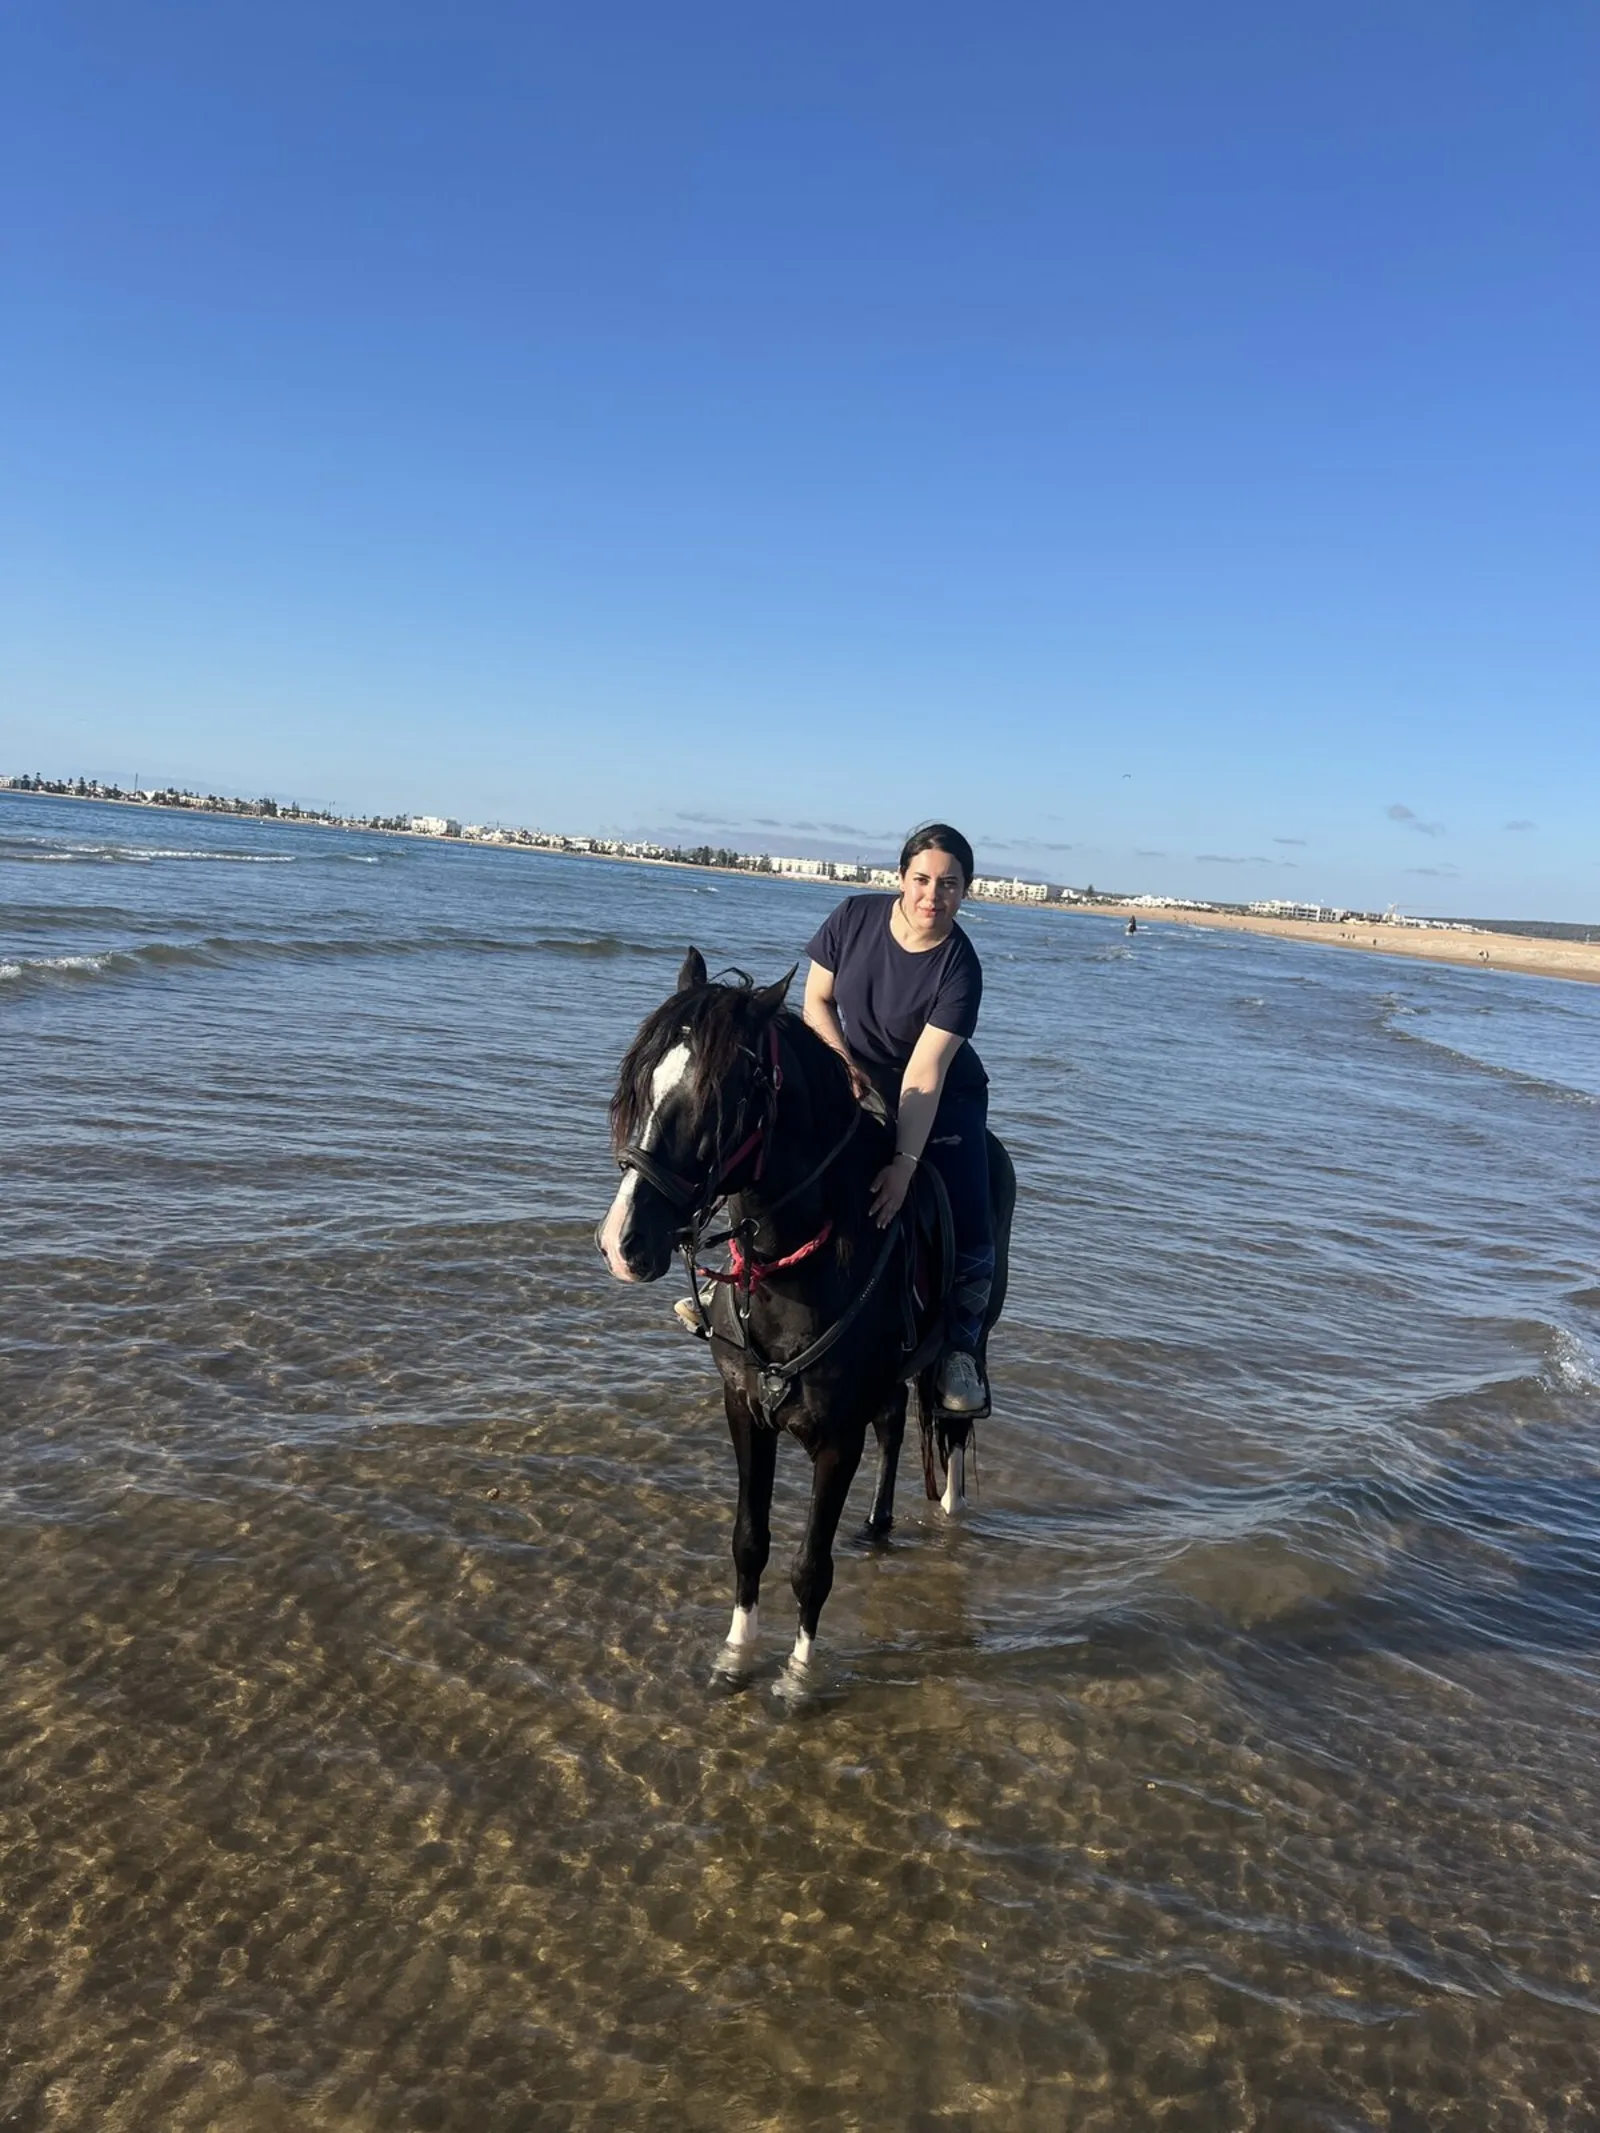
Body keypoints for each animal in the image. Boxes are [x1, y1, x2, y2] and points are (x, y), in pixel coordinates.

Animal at [596, 948, 1013, 1690]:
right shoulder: (743, 1411)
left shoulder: (835, 1438)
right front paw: (736, 1655)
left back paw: (948, 1514)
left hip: (969, 1341)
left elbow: (811, 1567)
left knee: (952, 1427)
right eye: (642, 1084)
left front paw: (798, 1675)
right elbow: (749, 1541)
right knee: (896, 1426)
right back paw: (877, 1522)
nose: (622, 1243)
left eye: (720, 1100)